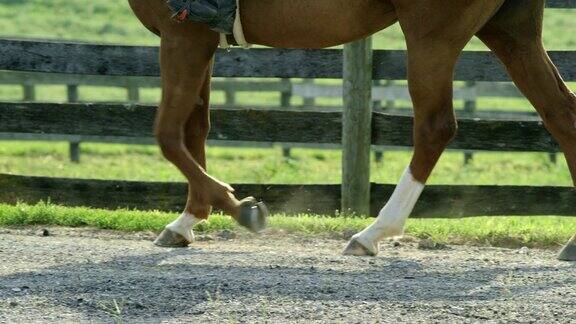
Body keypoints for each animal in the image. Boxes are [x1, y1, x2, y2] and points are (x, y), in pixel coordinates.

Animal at [129, 0, 576, 260]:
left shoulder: (182, 34)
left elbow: (167, 134)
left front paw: (240, 207)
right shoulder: (198, 38)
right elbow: (194, 129)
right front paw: (189, 219)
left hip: (433, 34)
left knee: (435, 127)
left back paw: (373, 232)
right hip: (510, 29)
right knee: (561, 113)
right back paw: (573, 243)